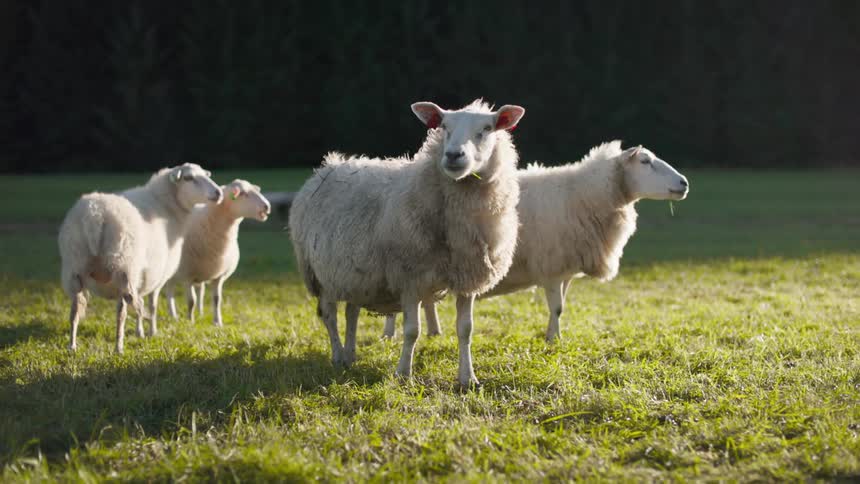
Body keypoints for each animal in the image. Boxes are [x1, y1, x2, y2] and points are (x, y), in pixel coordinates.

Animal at [58, 163, 223, 353]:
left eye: (206, 174)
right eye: (189, 178)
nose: (218, 192)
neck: (166, 207)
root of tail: (95, 216)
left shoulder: (143, 274)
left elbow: (142, 300)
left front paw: (140, 332)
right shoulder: (157, 274)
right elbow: (152, 304)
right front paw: (152, 331)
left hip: (75, 265)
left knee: (75, 308)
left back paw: (72, 345)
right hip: (123, 266)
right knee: (122, 311)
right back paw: (119, 347)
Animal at [165, 179, 272, 326]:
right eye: (243, 193)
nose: (267, 206)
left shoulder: (218, 275)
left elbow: (217, 299)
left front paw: (217, 323)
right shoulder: (187, 275)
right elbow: (191, 301)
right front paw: (190, 322)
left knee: (200, 290)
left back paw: (200, 313)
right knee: (169, 291)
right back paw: (173, 316)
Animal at [289, 100, 525, 388]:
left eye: (487, 128)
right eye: (444, 126)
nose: (453, 155)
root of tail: (327, 167)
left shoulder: (467, 277)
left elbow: (465, 330)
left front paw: (468, 378)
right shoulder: (409, 276)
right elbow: (412, 331)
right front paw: (403, 374)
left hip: (354, 274)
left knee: (351, 314)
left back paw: (350, 355)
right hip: (318, 274)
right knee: (330, 316)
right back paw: (337, 355)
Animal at [383, 141, 689, 342]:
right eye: (645, 162)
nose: (685, 183)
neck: (587, 194)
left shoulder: (566, 269)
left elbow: (561, 307)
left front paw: (555, 335)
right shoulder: (552, 265)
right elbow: (557, 307)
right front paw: (553, 340)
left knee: (426, 299)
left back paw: (434, 331)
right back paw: (389, 333)